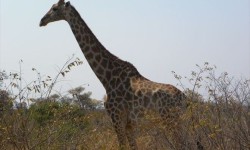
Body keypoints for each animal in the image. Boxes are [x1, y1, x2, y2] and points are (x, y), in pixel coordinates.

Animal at [40, 0, 187, 149]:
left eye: (54, 8)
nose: (42, 21)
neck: (106, 78)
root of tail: (184, 98)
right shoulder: (129, 124)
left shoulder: (116, 118)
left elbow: (122, 145)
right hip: (176, 120)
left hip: (170, 119)